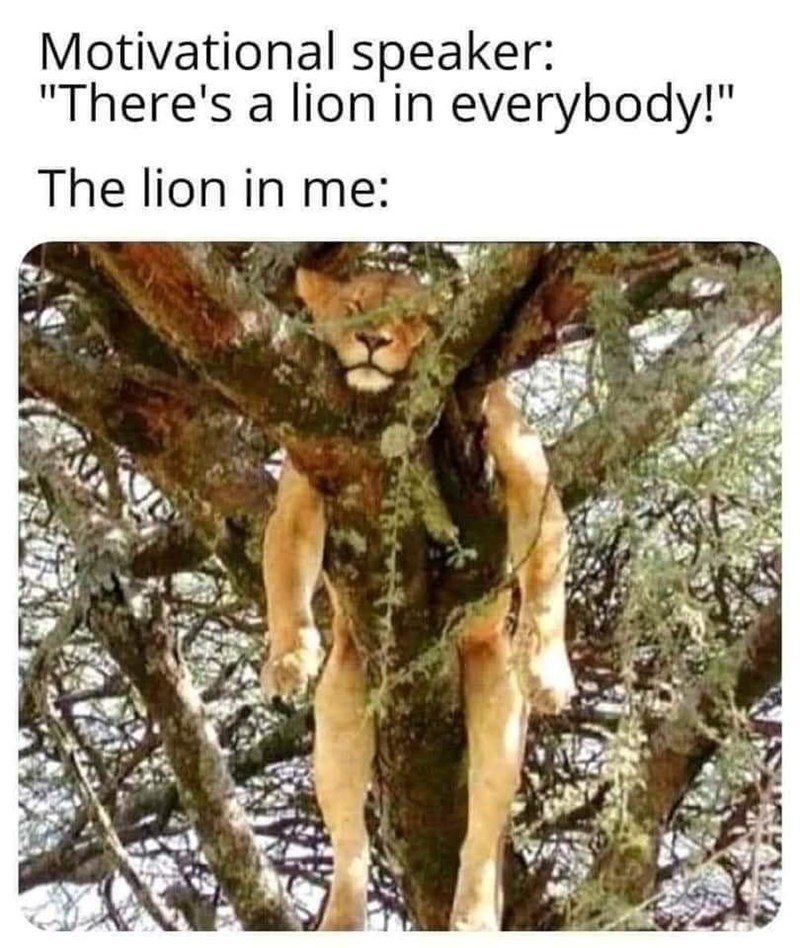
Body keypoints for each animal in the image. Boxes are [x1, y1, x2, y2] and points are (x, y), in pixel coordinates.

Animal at [261, 266, 576, 930]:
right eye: (356, 307)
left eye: (415, 319)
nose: (374, 340)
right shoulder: (306, 477)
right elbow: (283, 572)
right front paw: (288, 656)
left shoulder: (524, 466)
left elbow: (544, 575)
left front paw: (549, 671)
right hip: (344, 696)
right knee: (350, 836)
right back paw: (342, 915)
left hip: (493, 695)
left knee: (481, 829)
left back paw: (474, 914)